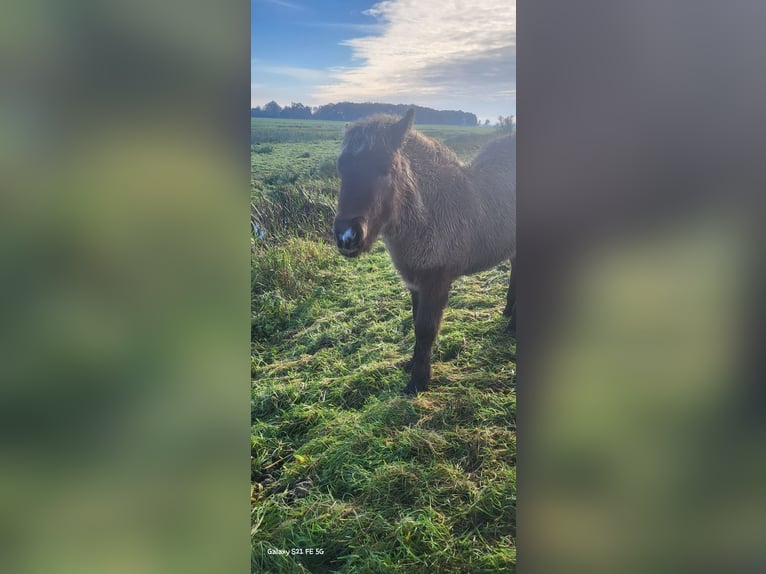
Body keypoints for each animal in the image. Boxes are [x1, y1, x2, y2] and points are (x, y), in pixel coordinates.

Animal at [334, 108, 520, 396]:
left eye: (385, 169)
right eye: (341, 168)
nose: (346, 237)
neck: (429, 215)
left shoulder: (437, 281)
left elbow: (425, 328)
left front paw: (419, 381)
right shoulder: (415, 282)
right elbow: (415, 322)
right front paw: (413, 363)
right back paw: (509, 312)